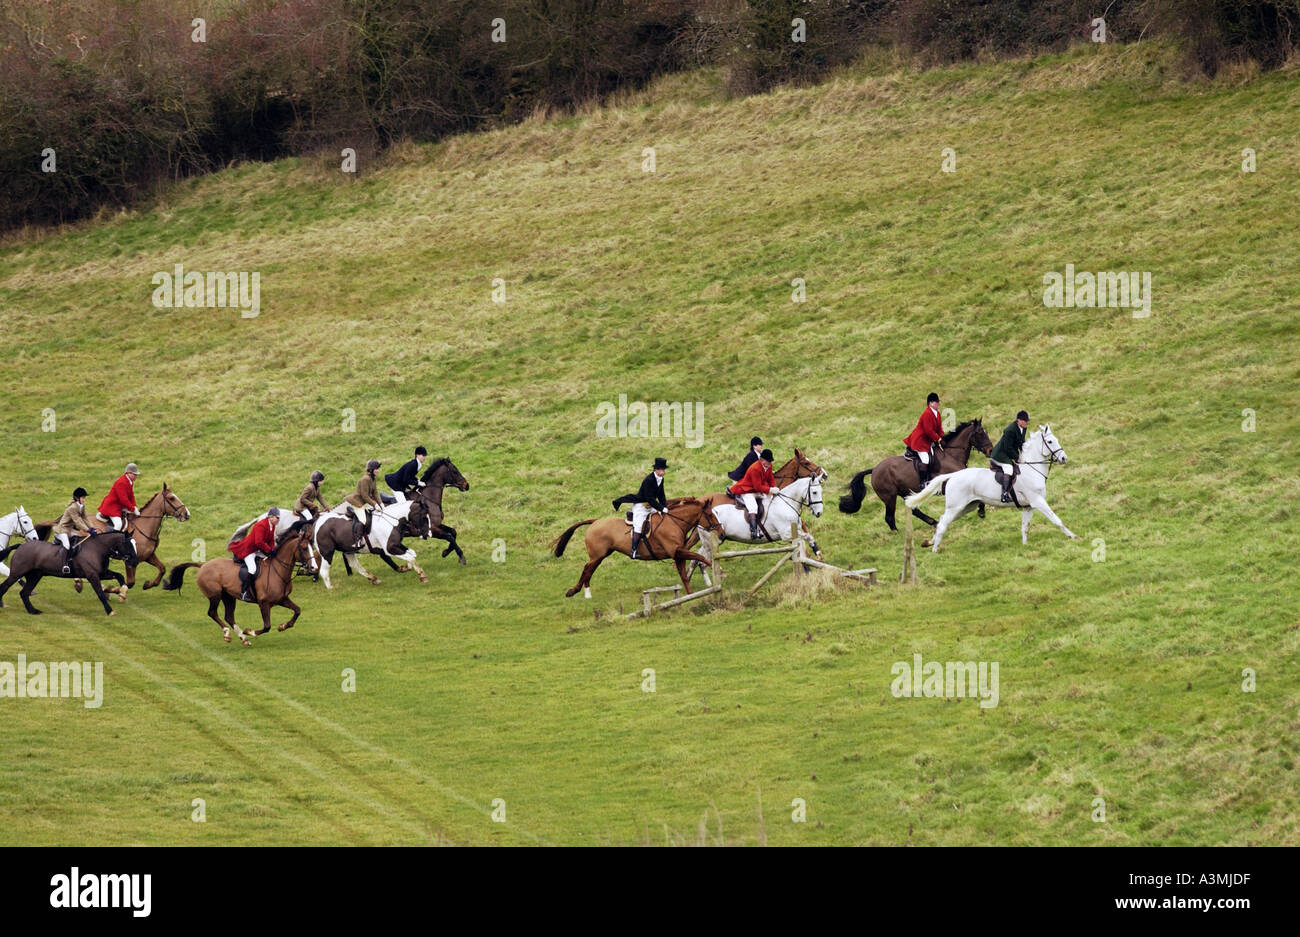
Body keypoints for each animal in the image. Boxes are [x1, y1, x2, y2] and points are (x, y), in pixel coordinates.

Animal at [0, 532, 138, 613]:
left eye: (135, 543)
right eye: (128, 544)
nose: (135, 561)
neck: (97, 549)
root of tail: (20, 546)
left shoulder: (101, 573)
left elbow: (119, 576)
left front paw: (122, 592)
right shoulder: (92, 575)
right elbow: (100, 593)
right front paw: (110, 611)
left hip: (35, 576)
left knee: (24, 593)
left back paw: (33, 611)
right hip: (16, 573)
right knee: (5, 587)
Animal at [163, 519, 318, 644]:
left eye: (312, 548)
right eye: (304, 548)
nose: (314, 568)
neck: (278, 571)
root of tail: (203, 566)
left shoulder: (282, 599)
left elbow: (297, 610)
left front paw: (283, 626)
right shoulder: (264, 603)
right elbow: (267, 626)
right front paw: (250, 631)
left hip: (228, 596)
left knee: (229, 616)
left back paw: (243, 639)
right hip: (215, 595)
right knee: (212, 613)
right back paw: (229, 634)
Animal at [837, 415, 987, 525]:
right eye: (980, 433)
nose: (990, 450)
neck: (951, 455)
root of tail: (874, 470)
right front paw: (981, 511)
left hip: (905, 492)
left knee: (914, 510)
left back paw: (932, 522)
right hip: (889, 497)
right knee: (889, 517)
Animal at [904, 421, 1076, 548]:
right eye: (1050, 441)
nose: (1064, 458)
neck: (1032, 470)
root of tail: (954, 475)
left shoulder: (1029, 506)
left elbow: (1025, 527)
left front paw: (1025, 546)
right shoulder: (1038, 502)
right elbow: (1056, 520)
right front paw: (1073, 536)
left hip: (967, 506)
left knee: (943, 521)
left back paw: (930, 542)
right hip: (955, 506)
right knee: (942, 524)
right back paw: (934, 549)